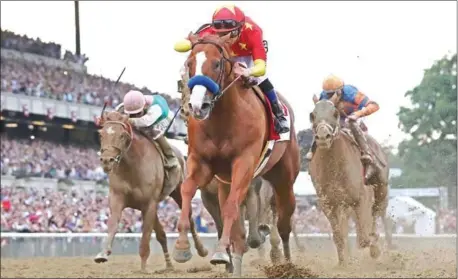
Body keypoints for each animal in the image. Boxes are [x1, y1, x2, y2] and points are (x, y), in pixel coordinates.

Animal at [94, 111, 208, 272]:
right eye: (101, 134)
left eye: (122, 135)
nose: (106, 160)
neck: (132, 167)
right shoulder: (117, 198)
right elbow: (113, 224)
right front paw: (103, 253)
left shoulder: (149, 204)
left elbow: (146, 236)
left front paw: (143, 269)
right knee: (162, 234)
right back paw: (169, 266)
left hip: (178, 193)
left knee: (190, 219)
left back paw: (200, 250)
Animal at [172, 33, 300, 278]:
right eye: (189, 63)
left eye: (216, 63)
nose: (196, 106)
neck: (222, 120)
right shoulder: (202, 163)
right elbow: (187, 190)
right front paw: (182, 248)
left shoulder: (244, 163)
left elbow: (232, 206)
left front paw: (221, 251)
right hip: (225, 182)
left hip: (283, 178)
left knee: (284, 223)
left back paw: (288, 264)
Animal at [308, 98, 390, 266]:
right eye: (312, 115)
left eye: (335, 113)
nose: (323, 136)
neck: (335, 169)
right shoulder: (328, 204)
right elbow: (339, 235)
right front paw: (343, 262)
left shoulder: (362, 198)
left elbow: (364, 237)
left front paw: (374, 249)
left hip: (381, 191)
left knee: (375, 215)